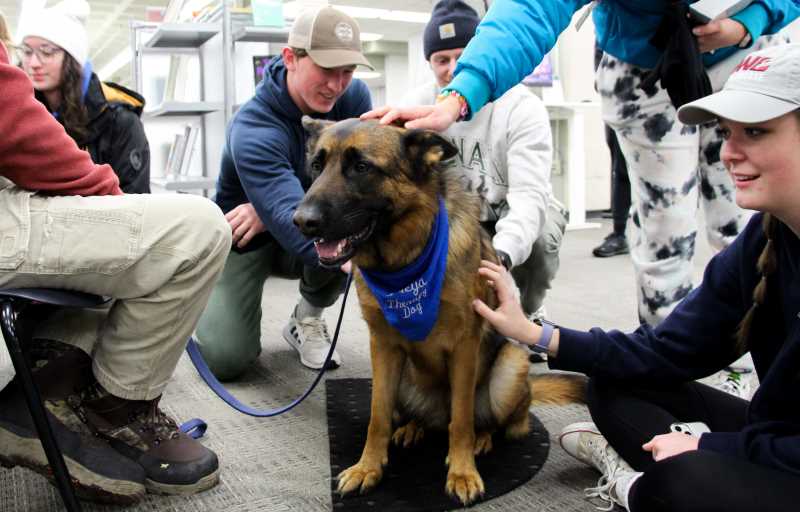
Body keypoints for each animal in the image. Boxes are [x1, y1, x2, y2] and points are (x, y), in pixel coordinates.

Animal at [294, 116, 580, 504]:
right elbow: (377, 416)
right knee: (421, 418)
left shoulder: (464, 348)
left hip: (509, 368)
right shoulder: (383, 347)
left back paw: (482, 438)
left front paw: (462, 472)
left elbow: (461, 418)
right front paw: (369, 467)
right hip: (402, 380)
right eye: (317, 166)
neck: (405, 260)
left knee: (496, 421)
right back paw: (414, 427)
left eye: (362, 167)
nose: (300, 220)